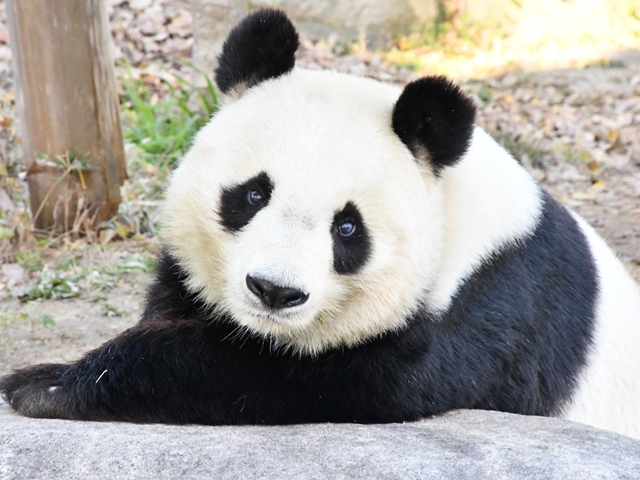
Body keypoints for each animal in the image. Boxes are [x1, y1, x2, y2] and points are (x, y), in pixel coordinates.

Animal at [1, 8, 640, 438]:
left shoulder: (485, 304)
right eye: (253, 194)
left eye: (348, 229)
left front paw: (46, 384)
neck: (453, 201)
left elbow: (315, 381)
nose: (273, 291)